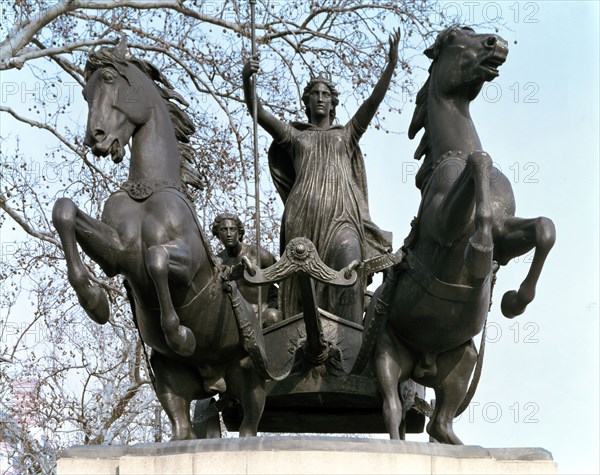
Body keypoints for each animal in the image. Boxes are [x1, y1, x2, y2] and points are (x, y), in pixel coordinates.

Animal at [52, 44, 268, 438]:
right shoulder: (117, 255)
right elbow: (64, 211)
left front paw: (181, 335)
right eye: (85, 93)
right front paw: (95, 302)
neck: (147, 192)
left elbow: (155, 259)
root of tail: (215, 379)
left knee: (248, 426)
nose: (97, 139)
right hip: (171, 382)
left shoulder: (188, 263)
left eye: (110, 80)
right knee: (182, 429)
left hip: (249, 378)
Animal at [372, 28, 556, 446]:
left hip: (463, 362)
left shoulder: (509, 233)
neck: (452, 153)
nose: (496, 43)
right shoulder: (444, 225)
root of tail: (421, 364)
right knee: (392, 413)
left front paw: (513, 301)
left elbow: (544, 228)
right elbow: (480, 160)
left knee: (440, 424)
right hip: (387, 357)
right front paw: (479, 253)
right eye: (456, 38)